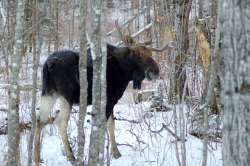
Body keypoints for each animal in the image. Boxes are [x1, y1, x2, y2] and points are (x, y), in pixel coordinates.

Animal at [33, 36, 170, 163]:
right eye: (138, 54)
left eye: (151, 53)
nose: (155, 71)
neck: (125, 72)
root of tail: (48, 64)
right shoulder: (110, 100)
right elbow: (106, 126)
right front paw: (109, 153)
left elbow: (110, 125)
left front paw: (115, 152)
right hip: (66, 97)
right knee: (60, 122)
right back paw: (71, 156)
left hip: (49, 92)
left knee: (40, 119)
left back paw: (37, 157)